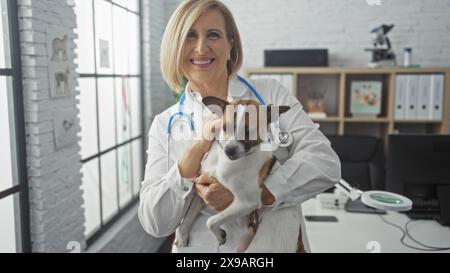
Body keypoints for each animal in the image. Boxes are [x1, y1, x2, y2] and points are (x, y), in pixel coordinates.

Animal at [176, 95, 302, 251]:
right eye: (225, 127)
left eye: (249, 132)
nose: (229, 150)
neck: (223, 162)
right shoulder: (202, 191)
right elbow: (188, 215)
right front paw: (182, 233)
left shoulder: (246, 203)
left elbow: (210, 221)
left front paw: (219, 234)